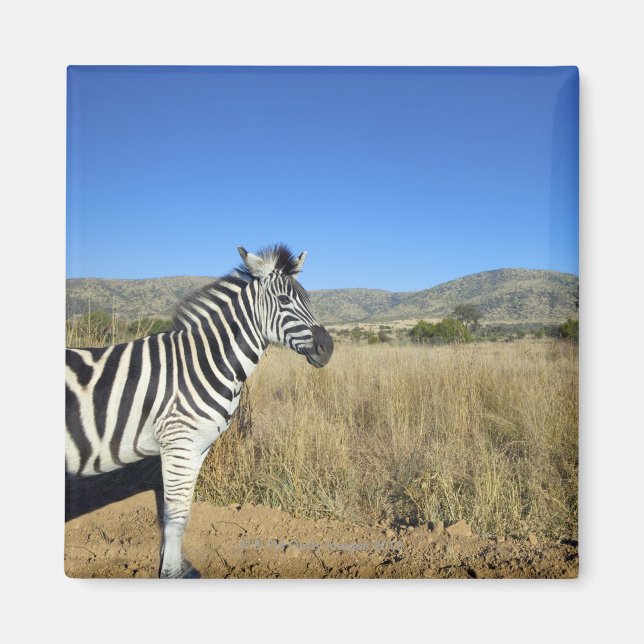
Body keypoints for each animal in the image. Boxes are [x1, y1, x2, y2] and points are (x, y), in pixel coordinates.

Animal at [65, 244, 334, 578]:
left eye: (308, 299)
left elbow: (182, 512)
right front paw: (170, 573)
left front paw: (178, 565)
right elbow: (175, 515)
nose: (328, 348)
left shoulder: (197, 447)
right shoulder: (178, 443)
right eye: (285, 300)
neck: (202, 361)